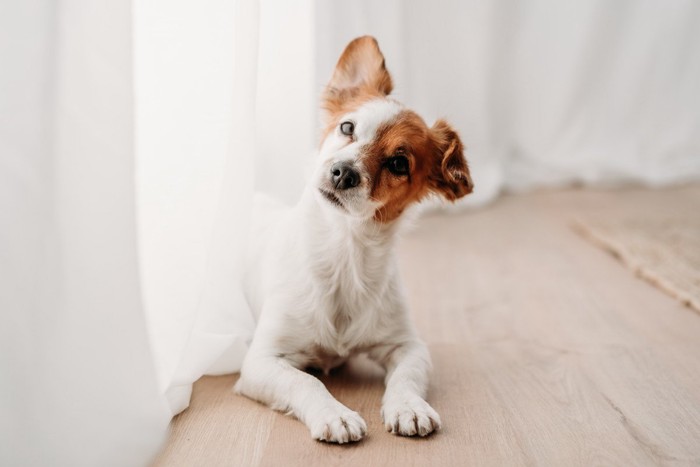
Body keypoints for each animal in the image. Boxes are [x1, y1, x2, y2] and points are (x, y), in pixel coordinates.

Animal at [234, 34, 470, 444]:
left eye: (398, 164)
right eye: (347, 127)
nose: (343, 172)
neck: (345, 251)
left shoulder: (409, 345)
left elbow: (406, 378)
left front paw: (409, 407)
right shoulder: (262, 360)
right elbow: (306, 382)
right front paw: (335, 414)